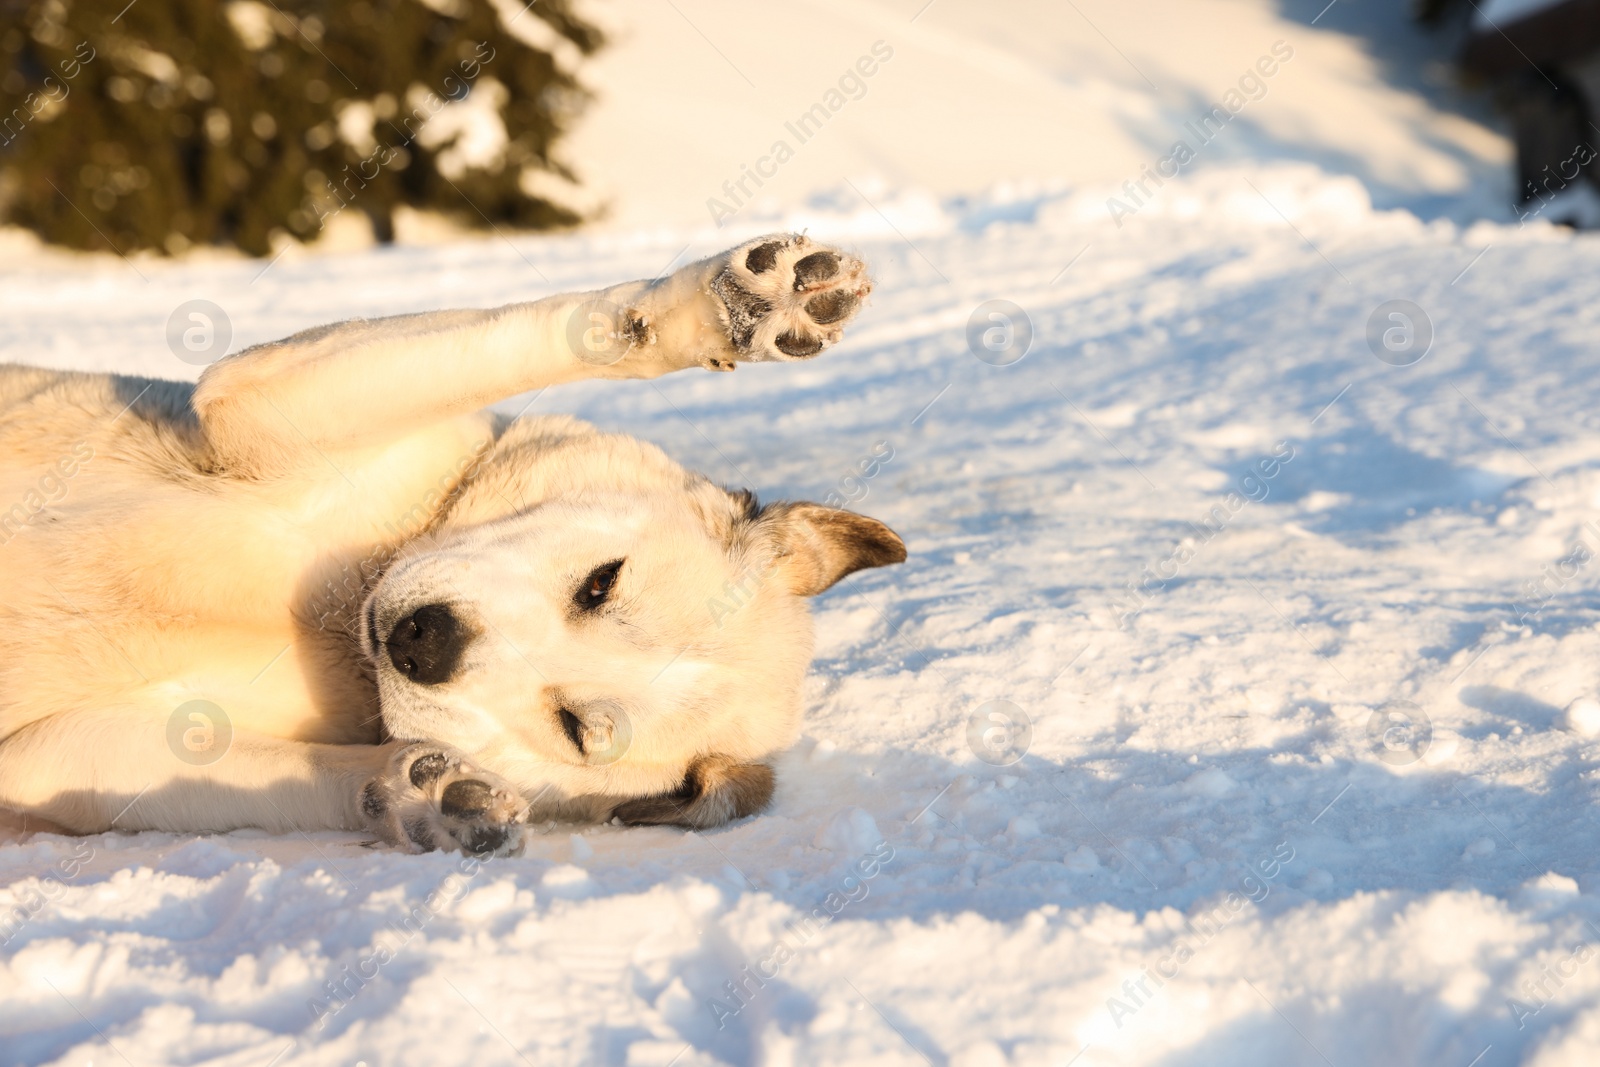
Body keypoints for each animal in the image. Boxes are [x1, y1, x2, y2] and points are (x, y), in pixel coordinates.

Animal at [0, 238, 902, 857]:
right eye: (602, 583)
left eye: (577, 726)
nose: (423, 641)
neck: (339, 620)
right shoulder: (263, 396)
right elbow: (563, 332)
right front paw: (732, 306)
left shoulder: (55, 757)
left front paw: (424, 795)